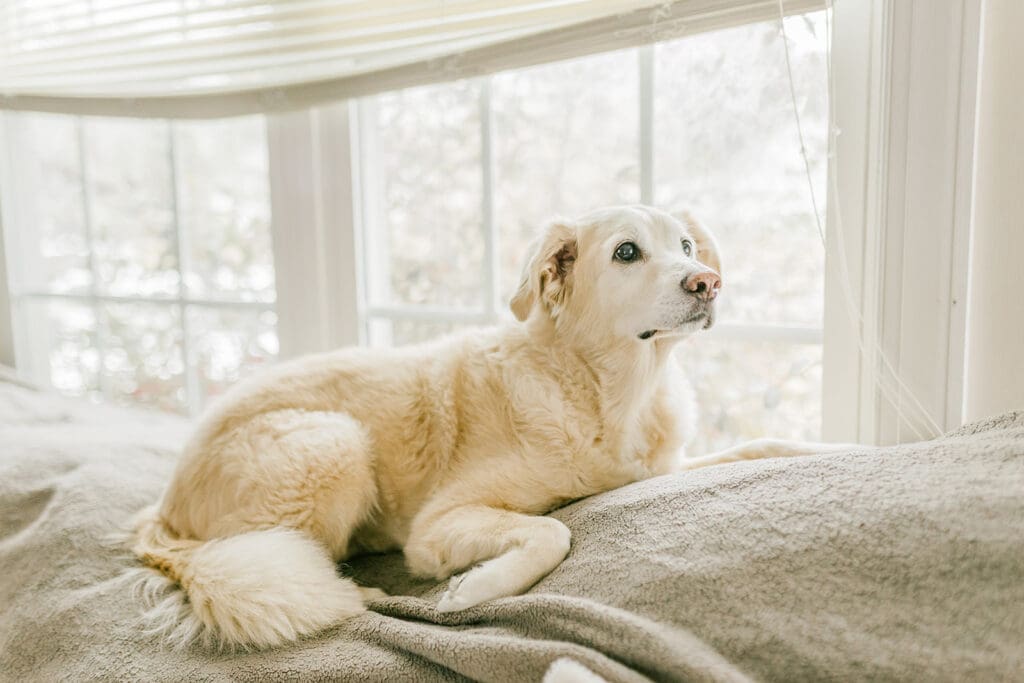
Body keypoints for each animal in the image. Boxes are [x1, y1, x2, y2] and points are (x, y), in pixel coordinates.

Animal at [130, 204, 847, 651]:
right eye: (626, 252)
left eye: (687, 246)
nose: (708, 282)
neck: (605, 389)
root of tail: (164, 510)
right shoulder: (439, 525)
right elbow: (553, 531)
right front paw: (474, 587)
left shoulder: (660, 466)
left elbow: (763, 442)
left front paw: (841, 445)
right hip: (334, 441)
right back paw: (360, 589)